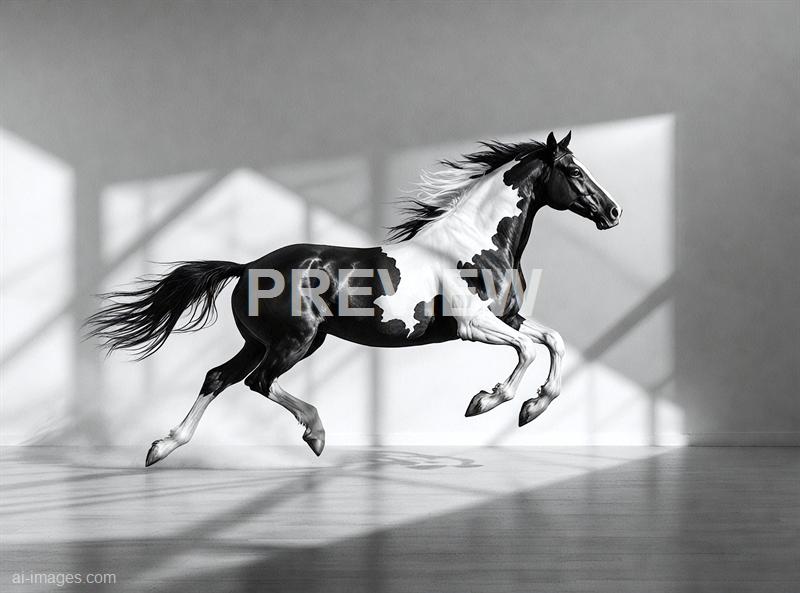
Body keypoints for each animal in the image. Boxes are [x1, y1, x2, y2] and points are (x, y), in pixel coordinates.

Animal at [86, 131, 621, 466]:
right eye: (573, 170)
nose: (613, 212)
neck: (476, 242)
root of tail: (246, 266)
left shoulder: (508, 317)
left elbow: (552, 340)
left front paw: (535, 406)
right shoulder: (473, 325)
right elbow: (528, 351)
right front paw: (488, 402)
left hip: (264, 341)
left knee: (218, 377)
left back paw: (162, 447)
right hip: (297, 341)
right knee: (258, 382)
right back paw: (316, 433)